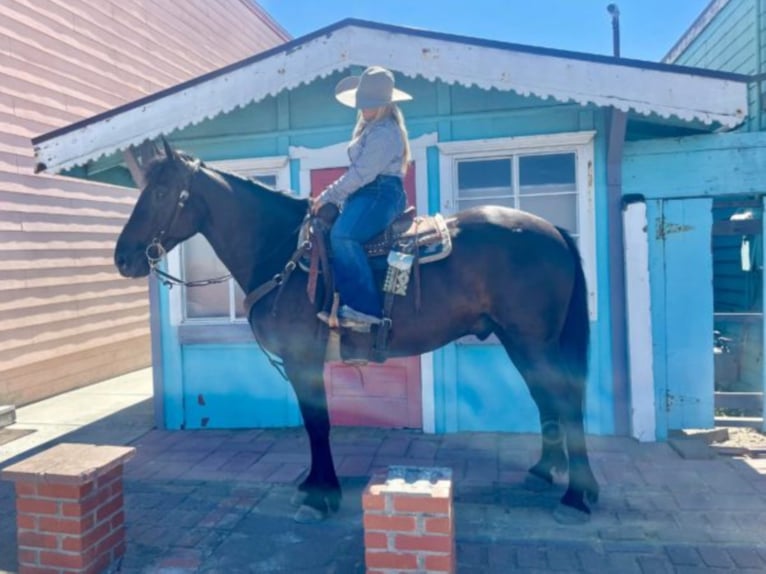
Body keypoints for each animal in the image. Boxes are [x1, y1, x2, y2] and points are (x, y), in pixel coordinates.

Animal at [115, 143, 600, 528]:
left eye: (161, 193)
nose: (122, 257)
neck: (281, 251)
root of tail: (553, 231)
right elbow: (316, 423)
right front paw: (315, 485)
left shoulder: (302, 359)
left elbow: (318, 423)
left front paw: (320, 495)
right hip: (519, 340)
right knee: (546, 398)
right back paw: (545, 471)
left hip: (533, 340)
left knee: (566, 402)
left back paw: (576, 496)